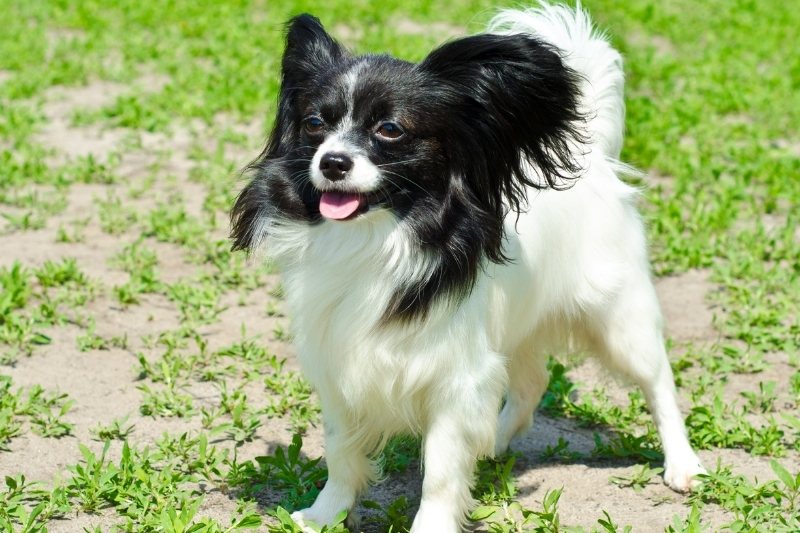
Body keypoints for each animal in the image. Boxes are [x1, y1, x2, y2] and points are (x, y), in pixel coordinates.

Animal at [230, 2, 708, 528]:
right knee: (531, 385)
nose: (333, 162)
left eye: (389, 129)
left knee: (658, 382)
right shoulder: (339, 364)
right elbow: (341, 452)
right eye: (315, 124)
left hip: (620, 321)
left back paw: (683, 465)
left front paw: (431, 525)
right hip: (517, 328)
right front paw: (323, 515)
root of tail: (594, 159)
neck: (377, 239)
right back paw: (492, 444)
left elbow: (440, 472)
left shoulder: (456, 379)